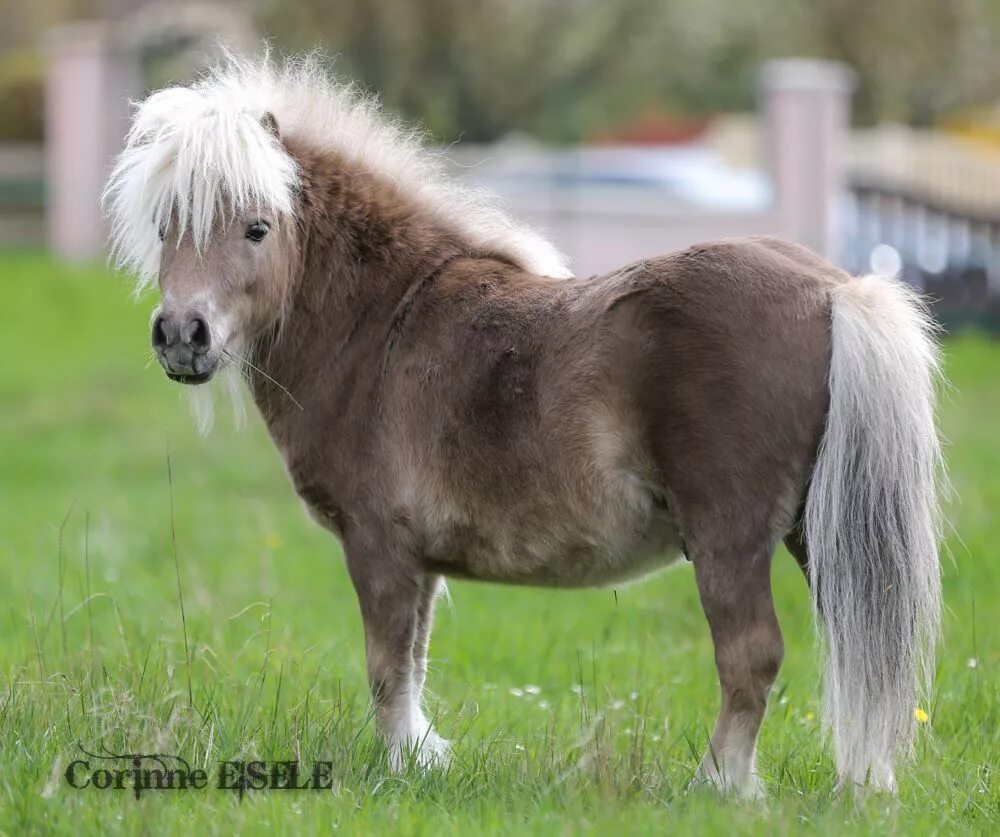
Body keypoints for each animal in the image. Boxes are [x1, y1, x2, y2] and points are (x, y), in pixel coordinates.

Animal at [105, 52, 940, 796]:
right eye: (168, 224)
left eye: (256, 227)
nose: (182, 336)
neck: (384, 322)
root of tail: (834, 291)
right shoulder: (419, 562)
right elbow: (412, 661)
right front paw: (423, 762)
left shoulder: (378, 547)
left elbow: (386, 666)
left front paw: (399, 768)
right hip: (816, 532)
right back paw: (863, 783)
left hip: (730, 539)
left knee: (751, 655)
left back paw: (719, 785)